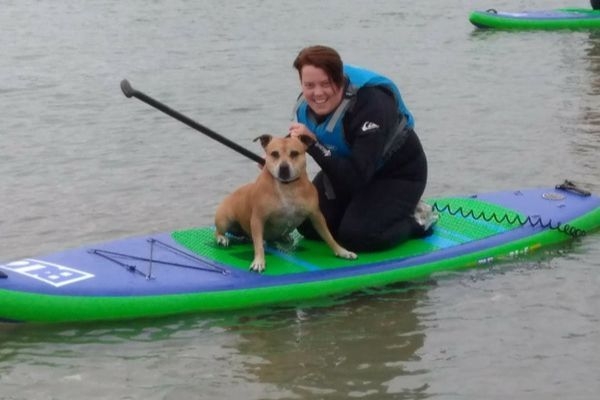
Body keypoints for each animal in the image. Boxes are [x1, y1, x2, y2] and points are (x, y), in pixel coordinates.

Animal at [214, 134, 356, 272]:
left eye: (294, 153)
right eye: (274, 154)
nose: (283, 168)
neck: (288, 187)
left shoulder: (316, 215)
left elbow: (328, 236)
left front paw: (342, 251)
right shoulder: (258, 219)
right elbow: (258, 244)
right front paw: (259, 261)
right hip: (225, 220)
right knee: (219, 232)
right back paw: (222, 238)